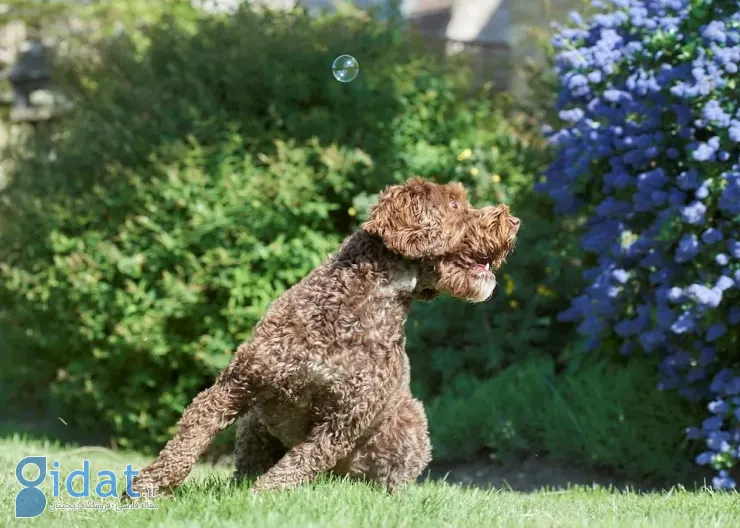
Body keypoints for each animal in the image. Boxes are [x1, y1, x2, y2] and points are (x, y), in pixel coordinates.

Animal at [129, 176, 520, 496]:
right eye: (455, 204)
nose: (514, 221)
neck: (357, 308)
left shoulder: (343, 422)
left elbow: (297, 464)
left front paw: (260, 500)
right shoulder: (238, 384)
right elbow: (191, 435)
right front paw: (149, 487)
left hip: (411, 424)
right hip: (255, 424)